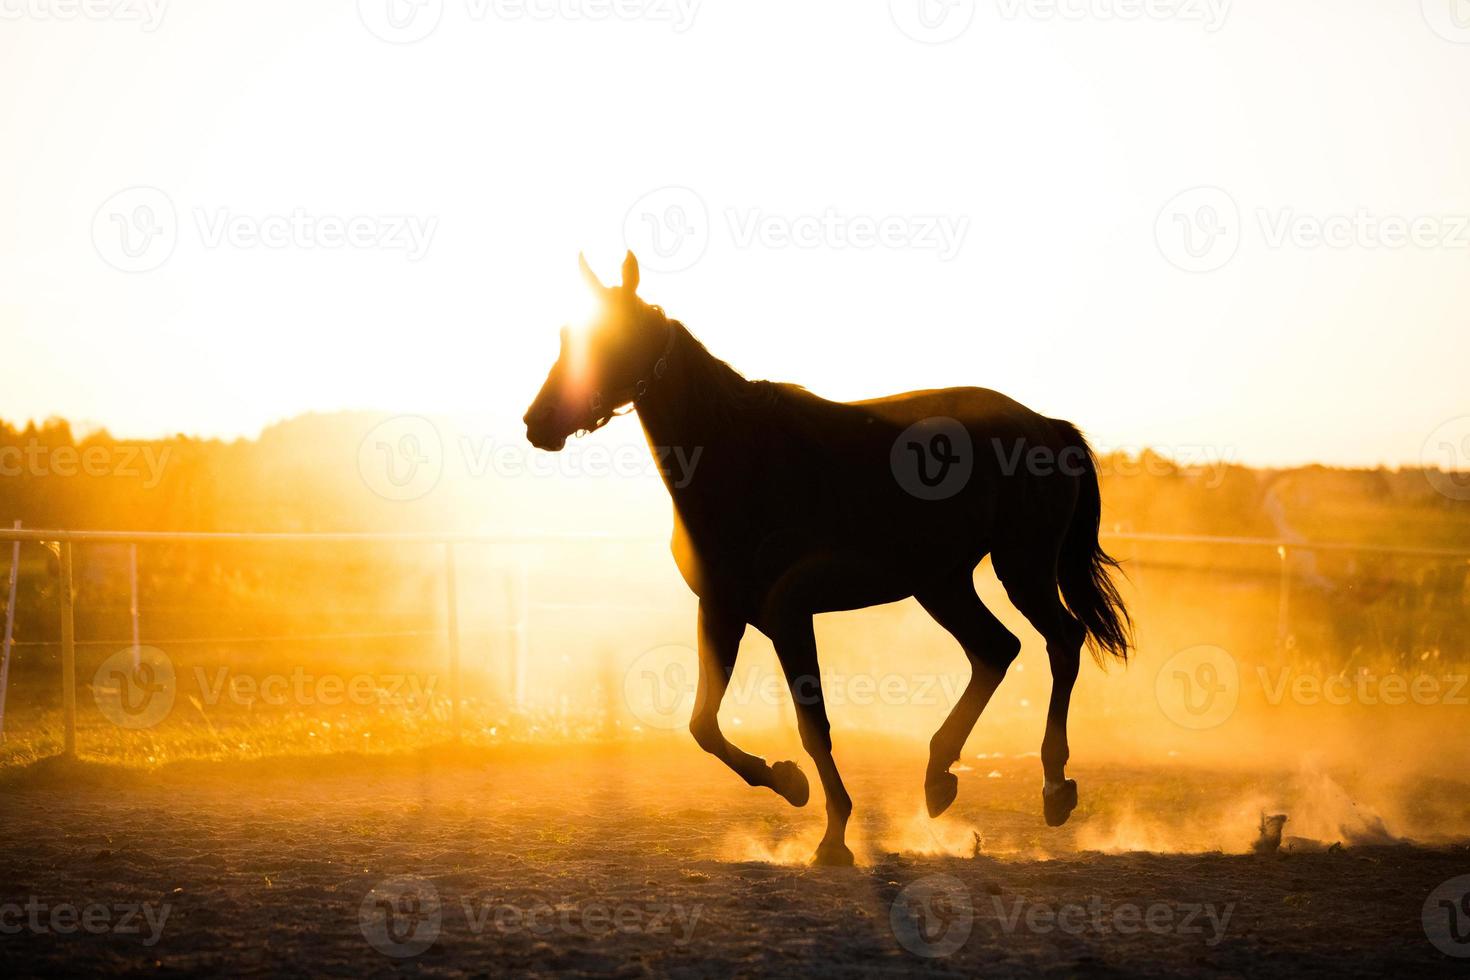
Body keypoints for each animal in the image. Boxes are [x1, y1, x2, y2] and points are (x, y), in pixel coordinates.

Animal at [523, 252, 1128, 863]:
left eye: (611, 340)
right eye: (567, 335)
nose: (537, 421)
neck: (739, 456)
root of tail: (1047, 427)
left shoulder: (789, 613)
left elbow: (812, 724)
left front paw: (834, 836)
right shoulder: (722, 610)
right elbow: (703, 725)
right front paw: (788, 783)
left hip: (1021, 567)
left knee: (1062, 642)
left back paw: (1054, 787)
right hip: (942, 583)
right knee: (997, 650)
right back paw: (939, 778)